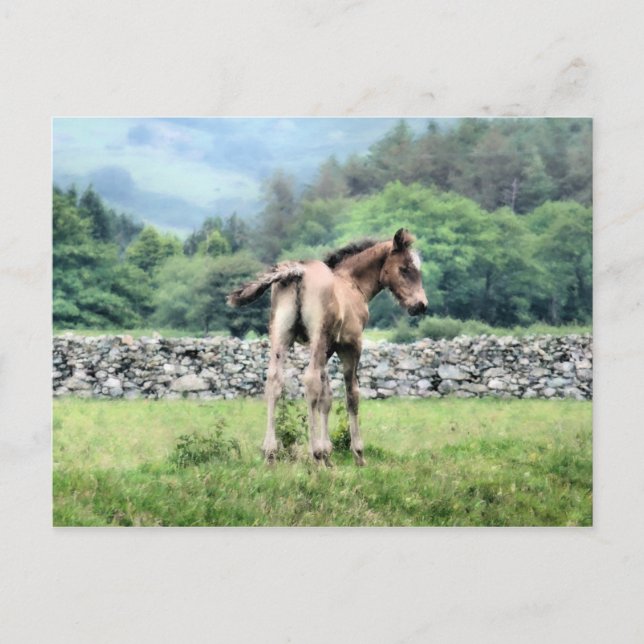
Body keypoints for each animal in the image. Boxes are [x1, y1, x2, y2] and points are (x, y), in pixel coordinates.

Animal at [227, 228, 428, 466]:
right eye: (405, 269)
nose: (420, 305)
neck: (352, 283)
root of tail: (297, 271)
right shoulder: (350, 345)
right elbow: (351, 394)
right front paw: (356, 454)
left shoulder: (327, 348)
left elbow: (326, 397)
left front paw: (327, 455)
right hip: (317, 335)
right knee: (310, 381)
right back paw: (313, 453)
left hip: (281, 335)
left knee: (275, 381)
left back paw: (270, 453)